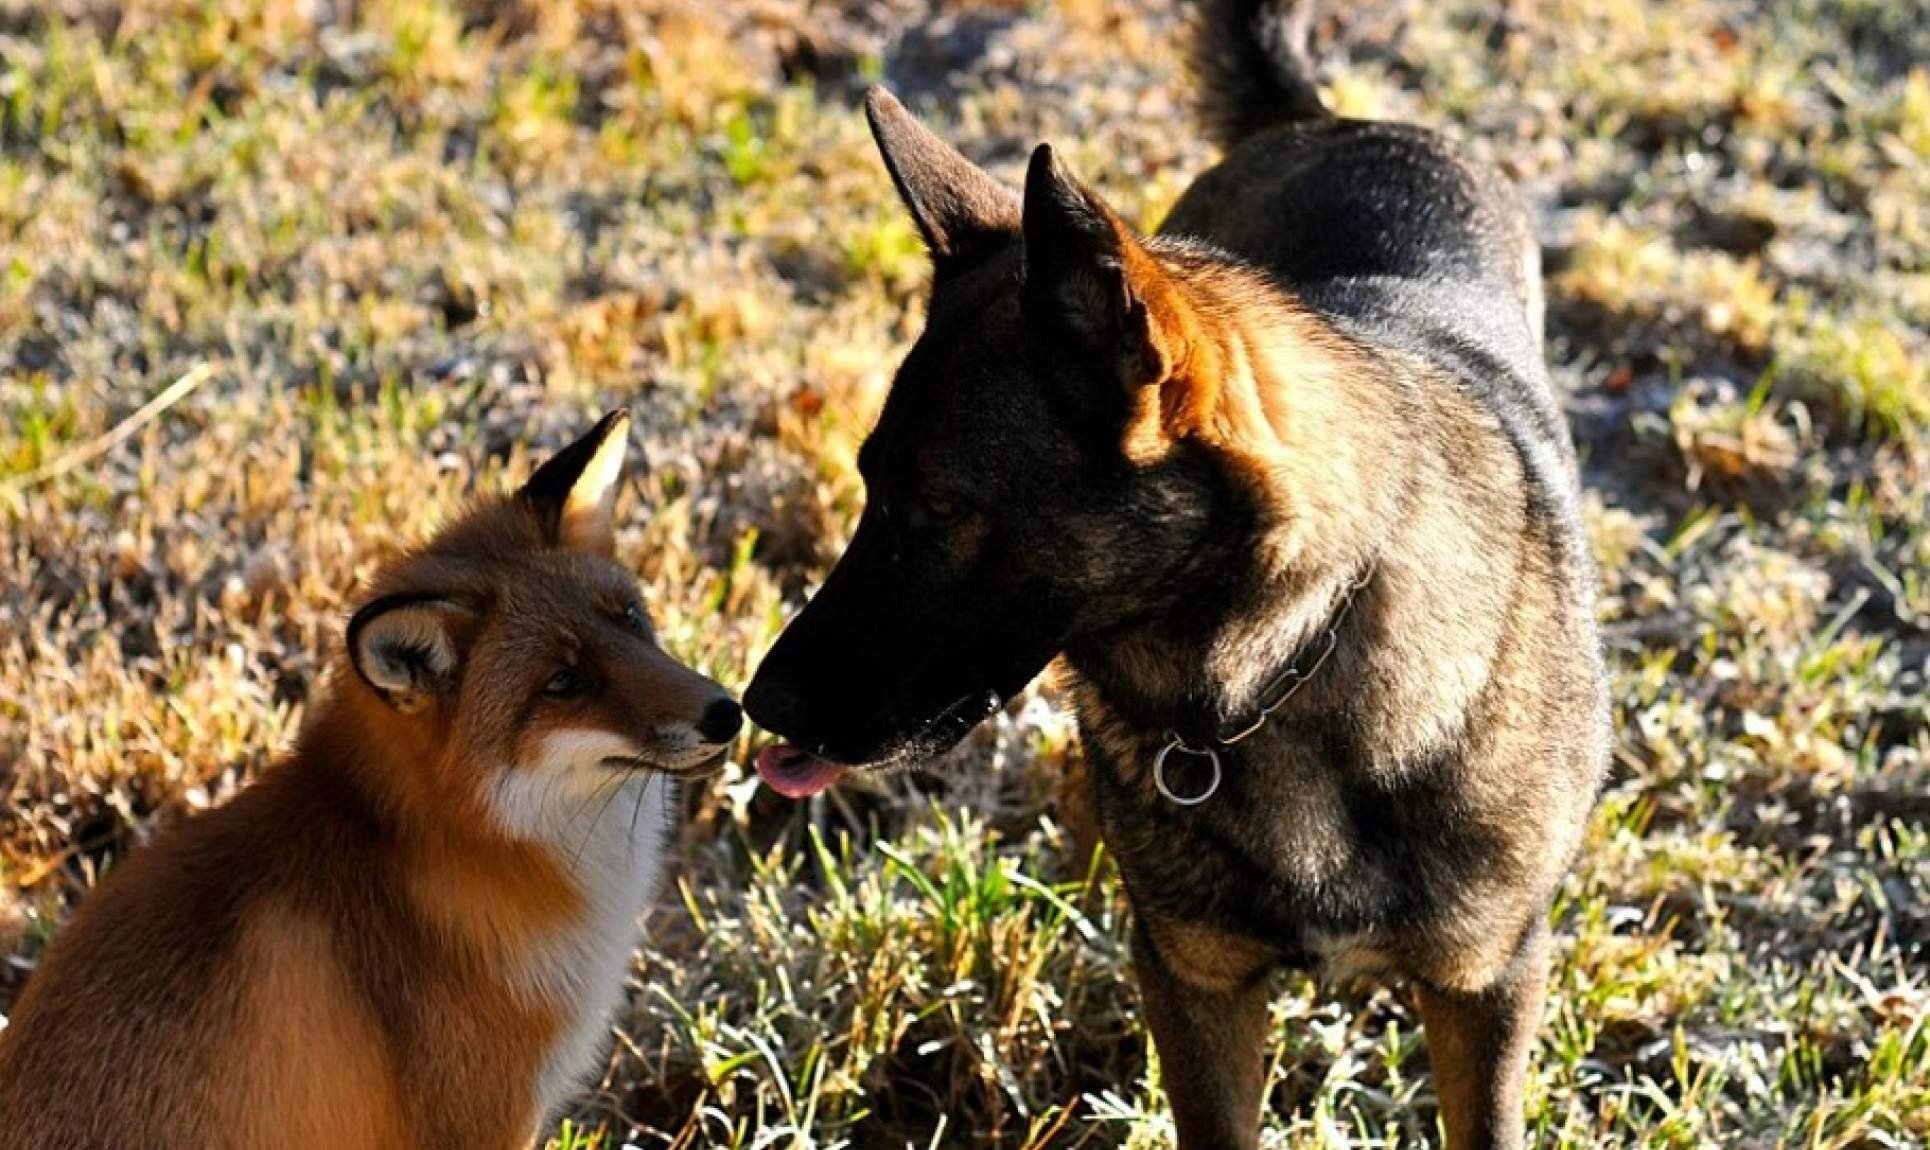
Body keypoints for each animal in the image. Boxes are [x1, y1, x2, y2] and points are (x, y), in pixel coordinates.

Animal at [744, 4, 1605, 1142]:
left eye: (934, 509)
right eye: (865, 483)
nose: (754, 704)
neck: (1291, 656)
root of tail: (1325, 121)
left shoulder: (1487, 986)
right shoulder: (1195, 986)